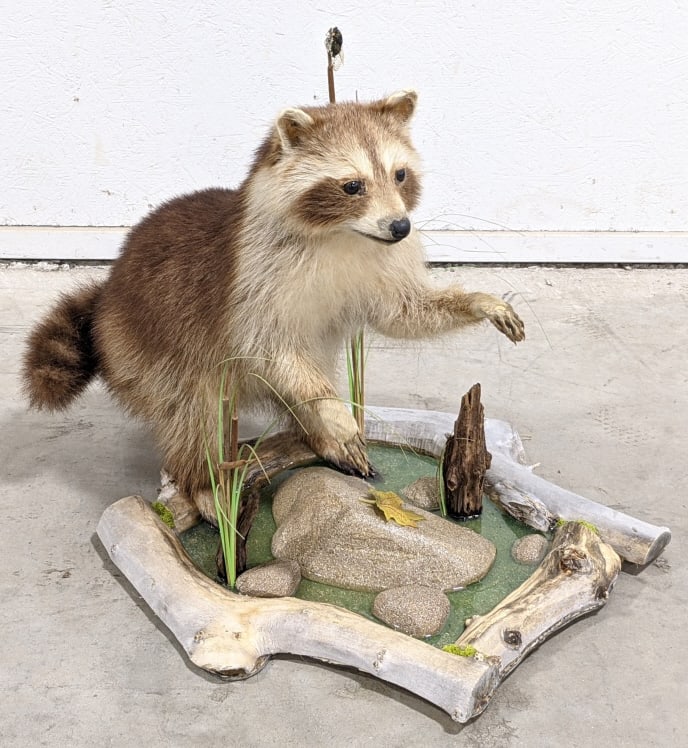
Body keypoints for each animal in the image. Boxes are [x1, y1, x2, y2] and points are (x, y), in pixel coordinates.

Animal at [23, 90, 524, 523]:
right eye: (352, 186)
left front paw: (477, 301)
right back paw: (204, 483)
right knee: (196, 416)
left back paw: (318, 435)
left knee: (297, 385)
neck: (342, 237)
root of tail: (107, 293)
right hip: (147, 350)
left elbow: (405, 313)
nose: (401, 227)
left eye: (400, 175)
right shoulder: (252, 285)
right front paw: (337, 414)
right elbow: (267, 349)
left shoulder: (380, 264)